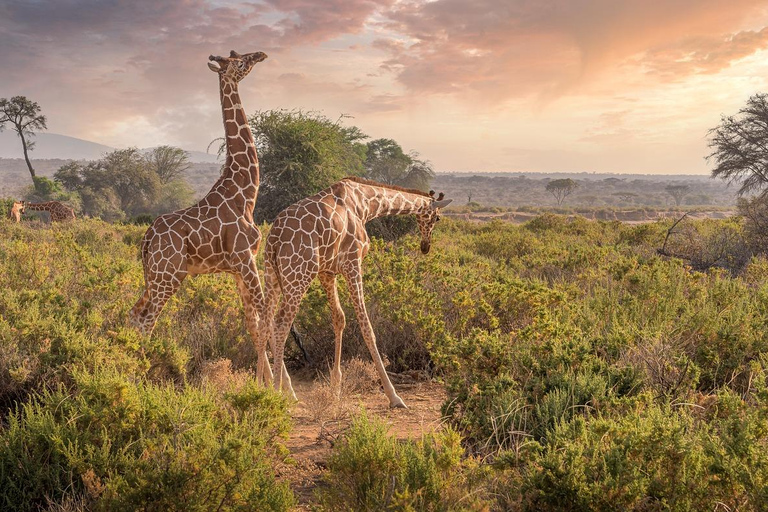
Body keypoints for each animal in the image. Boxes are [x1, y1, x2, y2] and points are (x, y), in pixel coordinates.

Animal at [127, 49, 292, 392]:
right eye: (240, 61)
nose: (261, 54)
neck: (245, 193)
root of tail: (146, 239)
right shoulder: (245, 260)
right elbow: (267, 318)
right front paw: (285, 391)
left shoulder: (237, 268)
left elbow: (253, 323)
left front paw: (264, 384)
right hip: (169, 276)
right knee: (147, 319)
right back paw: (138, 379)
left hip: (153, 276)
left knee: (134, 314)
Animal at [256, 176, 450, 408]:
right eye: (437, 218)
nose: (425, 246)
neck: (366, 204)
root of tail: (274, 238)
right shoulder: (352, 262)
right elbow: (366, 327)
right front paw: (394, 396)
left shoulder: (327, 271)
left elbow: (339, 319)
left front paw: (335, 387)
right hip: (299, 274)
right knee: (280, 324)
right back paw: (278, 394)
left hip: (272, 274)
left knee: (264, 323)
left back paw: (256, 387)